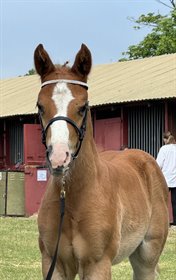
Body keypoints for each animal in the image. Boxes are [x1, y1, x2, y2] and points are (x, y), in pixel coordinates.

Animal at [33, 42, 169, 278]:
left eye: (82, 107)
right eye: (40, 106)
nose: (59, 158)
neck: (72, 199)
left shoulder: (97, 265)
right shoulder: (54, 263)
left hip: (147, 258)